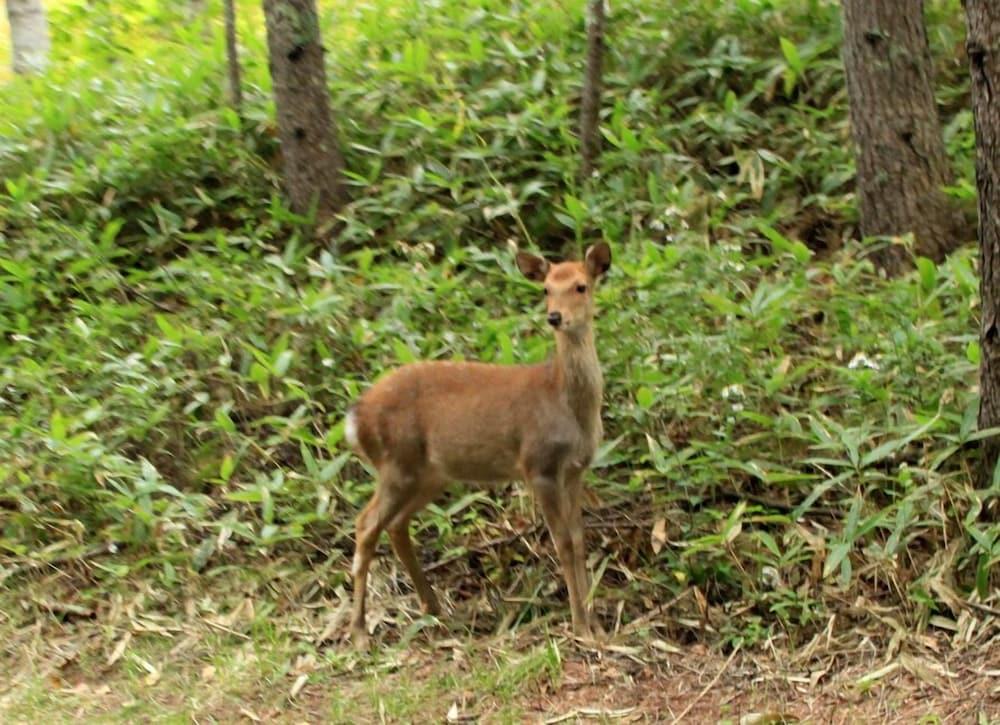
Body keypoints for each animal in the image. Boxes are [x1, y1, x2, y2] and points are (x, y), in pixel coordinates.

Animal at [344, 240, 608, 648]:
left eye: (581, 286)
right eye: (546, 288)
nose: (555, 317)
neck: (564, 400)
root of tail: (356, 418)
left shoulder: (576, 469)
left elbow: (579, 541)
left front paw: (595, 624)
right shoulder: (538, 465)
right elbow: (563, 542)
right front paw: (581, 627)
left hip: (430, 473)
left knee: (396, 524)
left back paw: (434, 608)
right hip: (397, 463)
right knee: (365, 524)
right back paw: (359, 632)